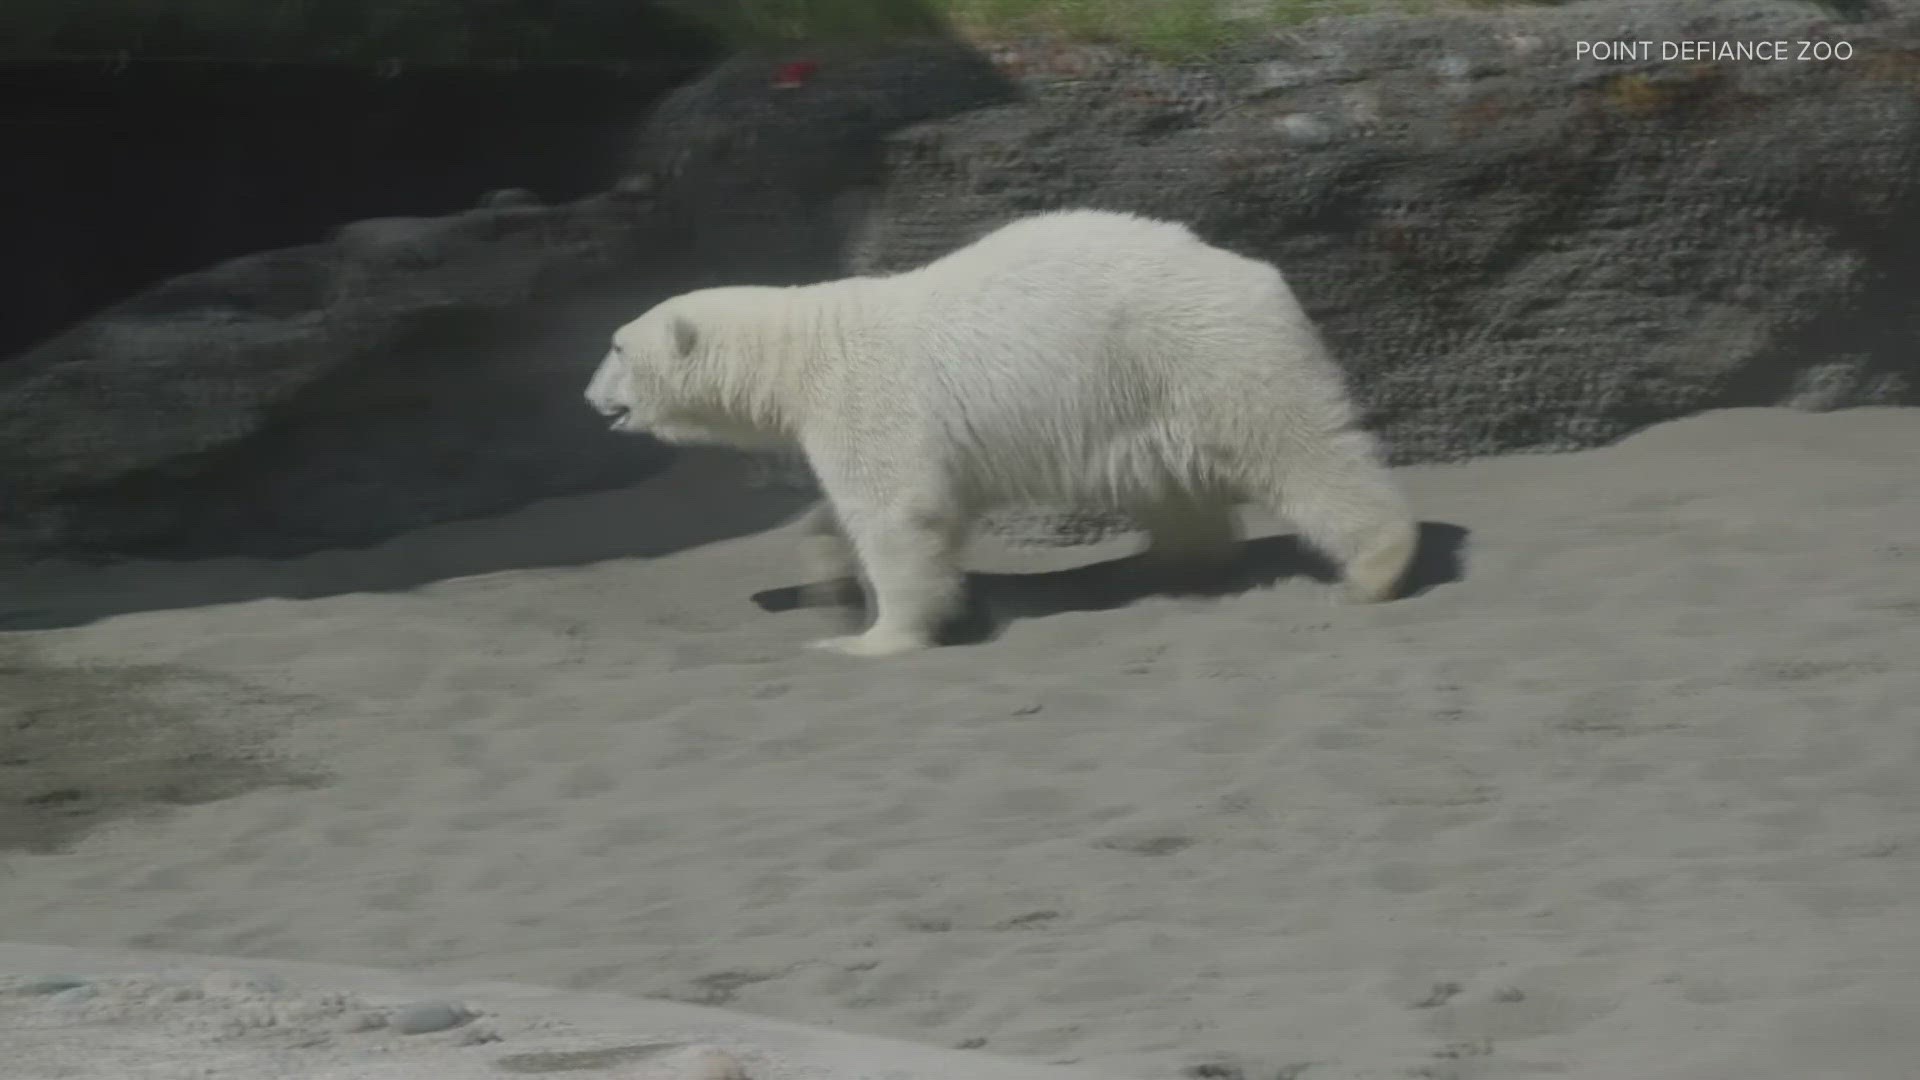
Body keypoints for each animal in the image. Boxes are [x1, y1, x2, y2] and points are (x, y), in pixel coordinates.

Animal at [591, 205, 1420, 653]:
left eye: (617, 348)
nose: (590, 397)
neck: (805, 346)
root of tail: (1257, 272)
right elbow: (867, 513)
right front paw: (825, 578)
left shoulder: (864, 398)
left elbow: (896, 513)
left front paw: (873, 639)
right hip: (1140, 392)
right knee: (1168, 486)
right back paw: (1158, 564)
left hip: (1208, 354)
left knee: (1300, 449)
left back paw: (1376, 567)